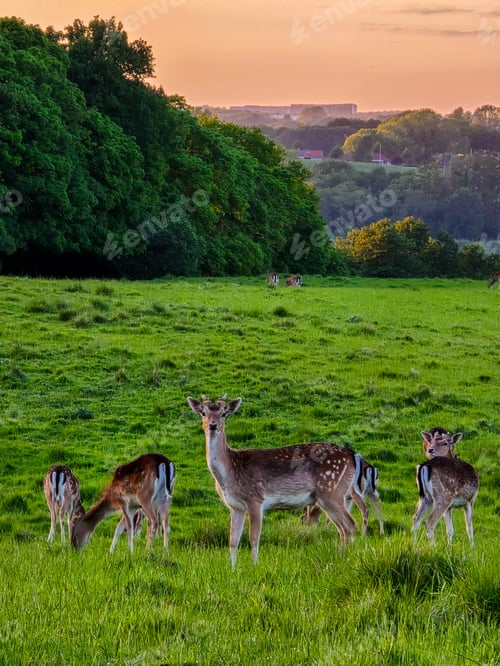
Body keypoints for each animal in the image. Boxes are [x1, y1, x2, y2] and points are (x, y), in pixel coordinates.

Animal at [187, 394, 364, 566]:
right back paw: (340, 557)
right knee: (342, 529)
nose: (213, 425)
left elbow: (254, 538)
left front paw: (254, 566)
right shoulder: (235, 506)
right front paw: (232, 569)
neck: (230, 472)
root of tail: (352, 455)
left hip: (331, 491)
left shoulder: (255, 499)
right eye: (203, 413)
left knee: (350, 525)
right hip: (328, 497)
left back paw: (347, 559)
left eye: (224, 413)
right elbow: (233, 540)